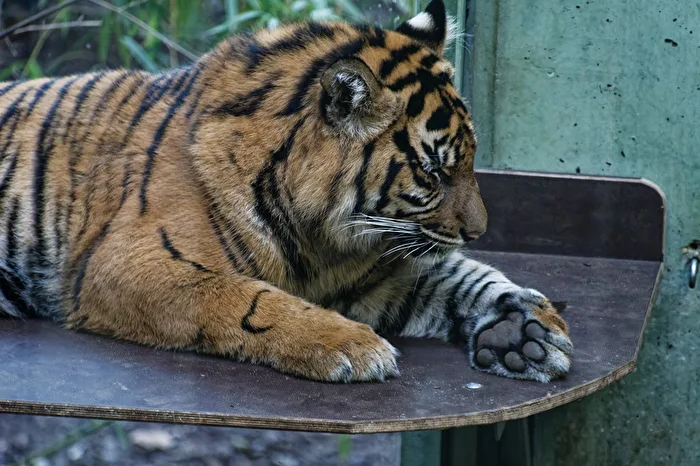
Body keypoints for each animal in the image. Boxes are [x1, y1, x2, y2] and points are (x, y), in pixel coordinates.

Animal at [0, 0, 571, 383]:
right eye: (433, 173)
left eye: (471, 160)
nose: (479, 231)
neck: (323, 240)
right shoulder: (126, 263)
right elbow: (244, 298)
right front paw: (352, 346)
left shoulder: (377, 271)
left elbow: (462, 275)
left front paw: (524, 333)